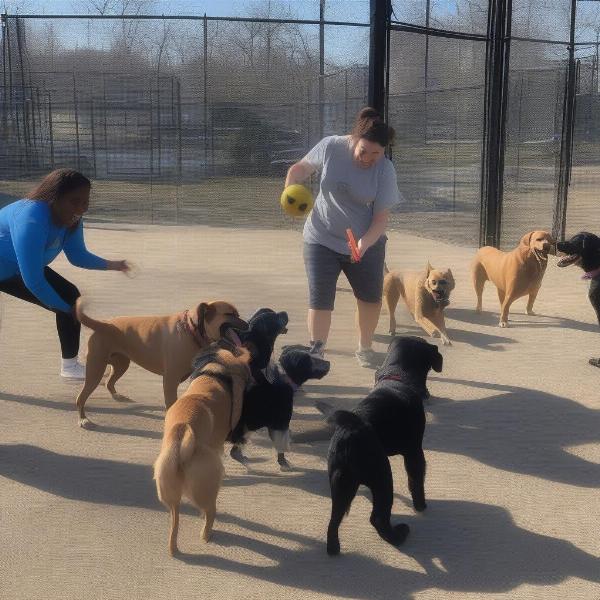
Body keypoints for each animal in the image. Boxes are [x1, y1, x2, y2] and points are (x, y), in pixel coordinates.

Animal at [75, 298, 248, 428]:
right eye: (229, 314)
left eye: (238, 314)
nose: (247, 325)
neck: (191, 329)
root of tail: (103, 323)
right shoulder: (170, 382)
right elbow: (171, 404)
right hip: (95, 370)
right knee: (81, 397)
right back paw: (83, 419)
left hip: (121, 364)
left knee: (109, 382)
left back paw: (117, 396)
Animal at [154, 340, 252, 556]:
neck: (213, 372)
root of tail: (181, 432)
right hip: (206, 490)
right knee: (210, 512)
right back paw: (207, 534)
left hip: (169, 496)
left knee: (175, 524)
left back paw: (174, 549)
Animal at [324, 338, 440, 556]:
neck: (398, 376)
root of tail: (351, 430)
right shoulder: (414, 452)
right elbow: (416, 481)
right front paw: (421, 506)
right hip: (382, 477)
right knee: (377, 517)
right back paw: (398, 536)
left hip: (341, 484)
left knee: (334, 521)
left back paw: (333, 549)